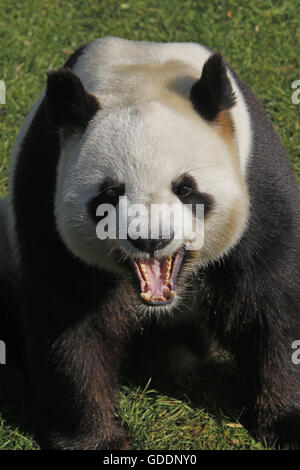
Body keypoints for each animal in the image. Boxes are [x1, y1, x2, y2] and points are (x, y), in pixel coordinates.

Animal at [0, 36, 300, 448]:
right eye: (111, 193)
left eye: (185, 188)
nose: (151, 239)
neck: (141, 75)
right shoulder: (46, 185)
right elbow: (69, 317)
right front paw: (94, 438)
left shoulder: (255, 178)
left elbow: (268, 300)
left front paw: (285, 421)